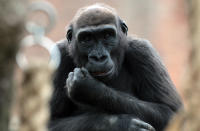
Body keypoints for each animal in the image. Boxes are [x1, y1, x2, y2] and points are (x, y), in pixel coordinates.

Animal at [48, 3, 183, 131]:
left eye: (107, 35)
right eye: (86, 38)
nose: (99, 57)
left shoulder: (143, 51)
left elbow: (170, 113)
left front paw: (91, 89)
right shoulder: (59, 56)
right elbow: (51, 122)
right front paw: (119, 123)